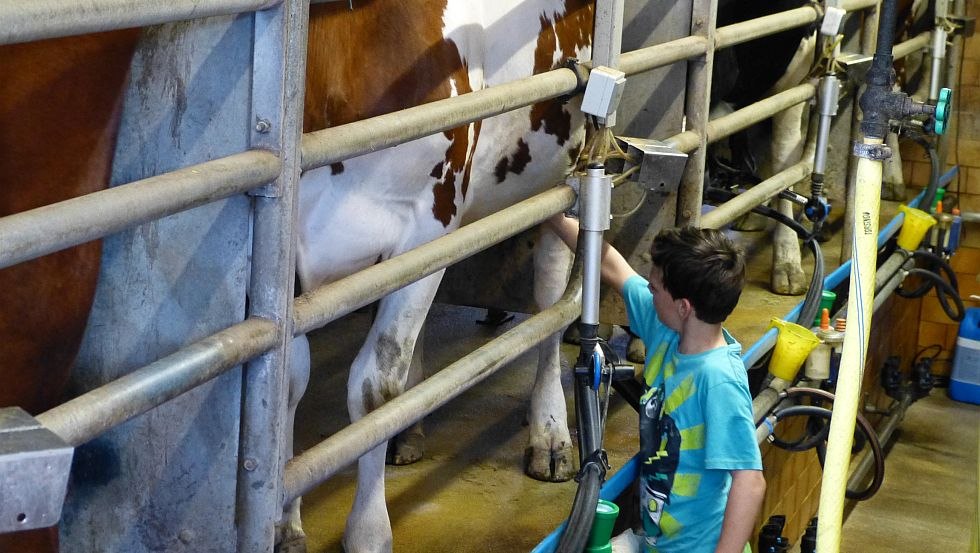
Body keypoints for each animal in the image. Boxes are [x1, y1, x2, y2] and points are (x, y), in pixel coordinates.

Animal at [280, 2, 592, 548]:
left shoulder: (428, 224)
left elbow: (374, 390)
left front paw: (369, 532)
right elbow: (290, 387)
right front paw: (286, 523)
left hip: (560, 174)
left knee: (551, 305)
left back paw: (549, 433)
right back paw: (410, 429)